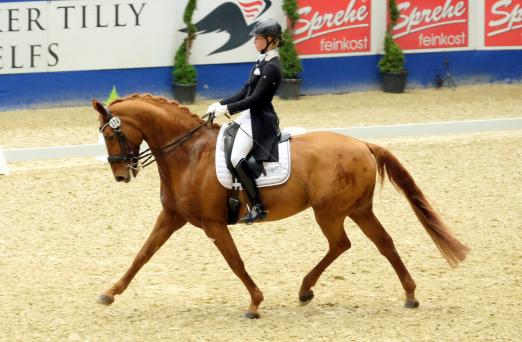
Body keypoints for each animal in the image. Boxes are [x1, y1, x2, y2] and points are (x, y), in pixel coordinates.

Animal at [92, 93, 468, 318]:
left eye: (110, 134)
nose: (120, 175)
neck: (189, 154)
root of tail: (362, 144)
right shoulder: (171, 216)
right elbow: (142, 255)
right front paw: (109, 293)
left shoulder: (213, 225)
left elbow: (235, 262)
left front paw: (255, 303)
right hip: (357, 209)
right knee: (382, 243)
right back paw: (408, 294)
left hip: (330, 211)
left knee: (342, 243)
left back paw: (307, 290)